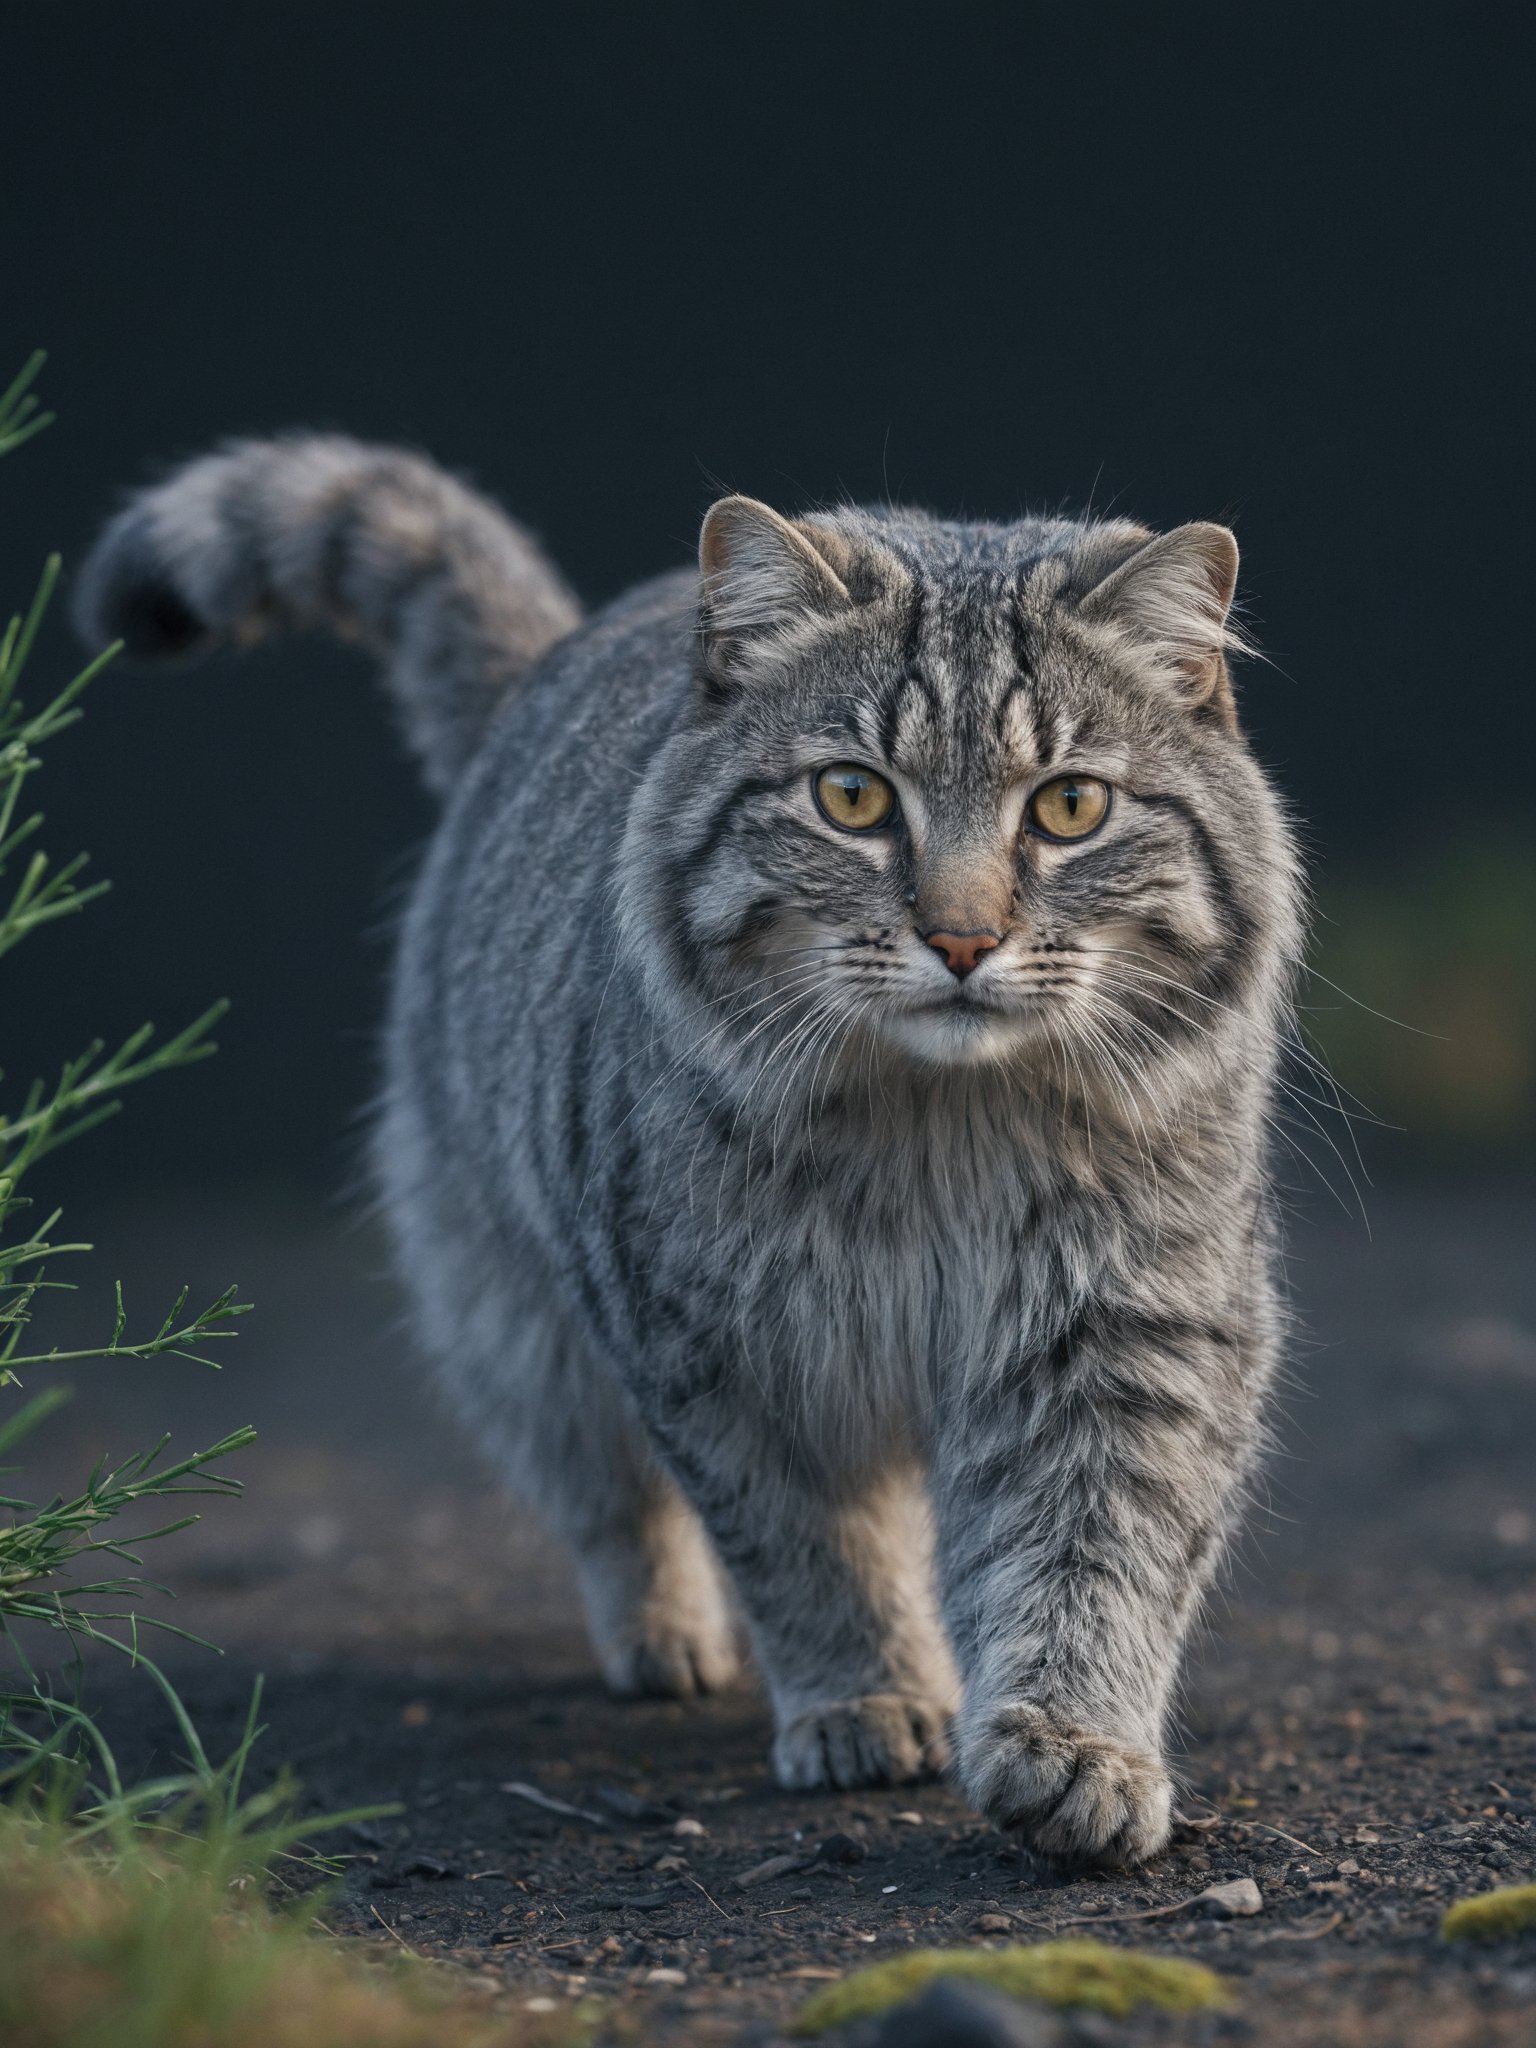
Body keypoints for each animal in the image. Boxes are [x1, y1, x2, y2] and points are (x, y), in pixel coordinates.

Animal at [78, 436, 1302, 1875]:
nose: (960, 938)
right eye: (851, 796)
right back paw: (668, 1635)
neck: (937, 1132)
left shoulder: (1127, 1332)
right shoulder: (714, 1348)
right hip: (515, 1325)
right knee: (610, 1498)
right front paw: (863, 1694)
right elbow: (802, 1549)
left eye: (1068, 806)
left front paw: (1074, 1744)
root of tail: (548, 664)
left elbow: (1094, 1554)